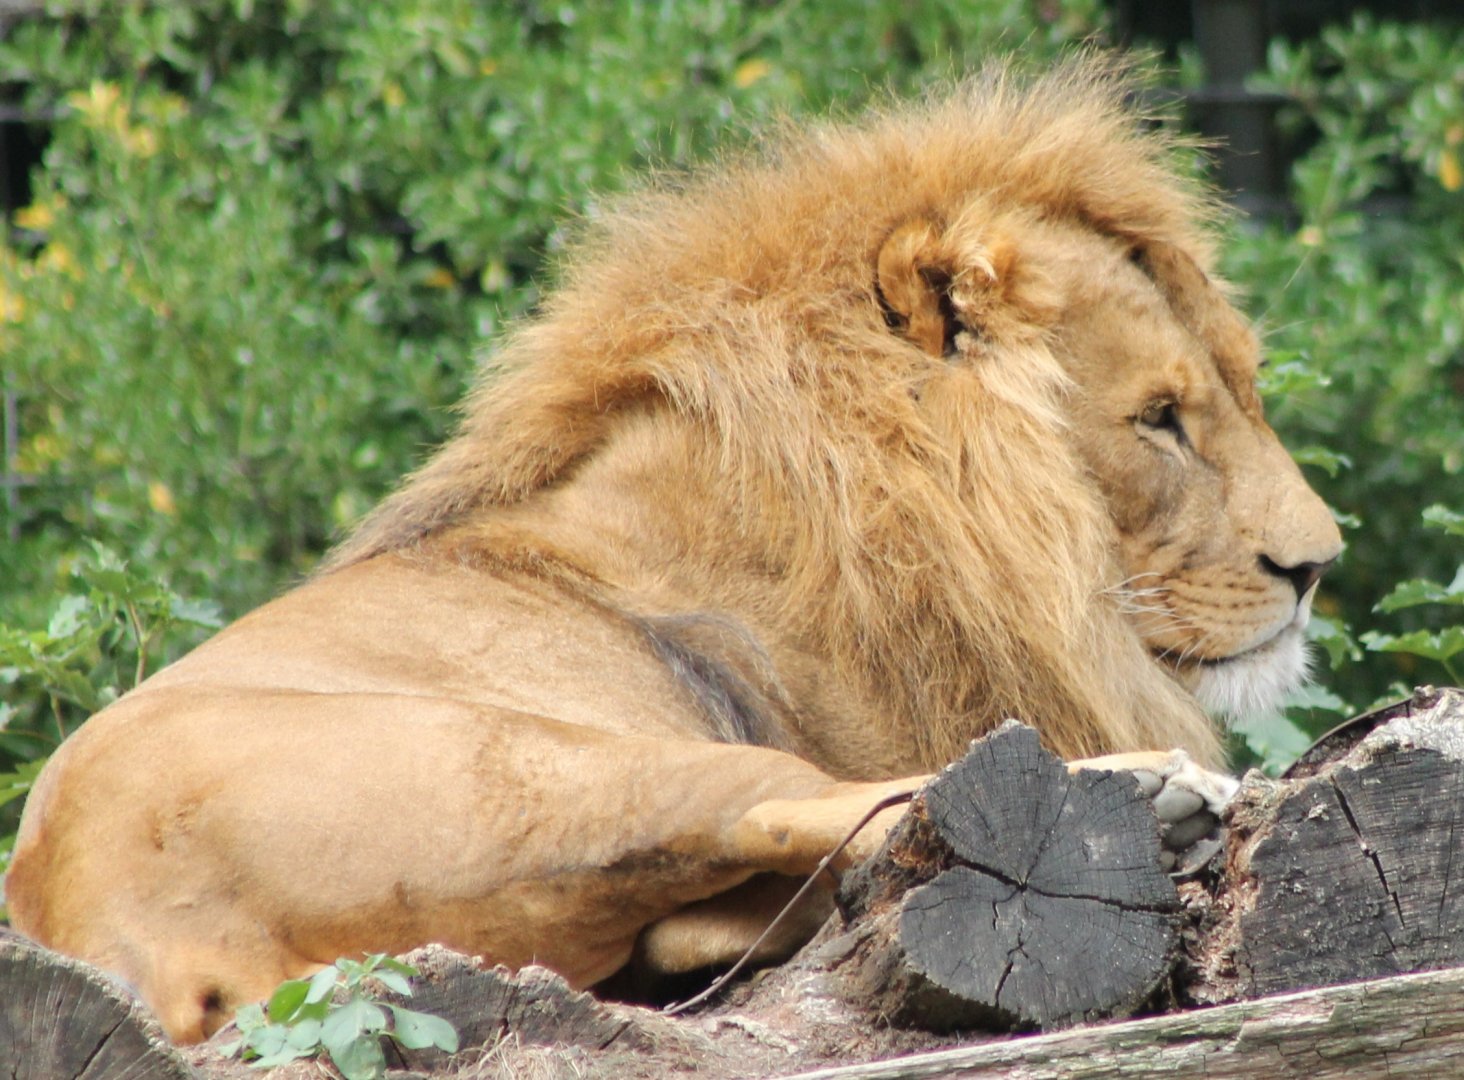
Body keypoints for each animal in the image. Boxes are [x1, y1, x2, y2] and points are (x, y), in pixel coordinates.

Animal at [7, 56, 1341, 1044]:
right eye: (1161, 418)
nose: (1317, 563)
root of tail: (93, 916)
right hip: (533, 764)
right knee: (805, 811)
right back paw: (1152, 792)